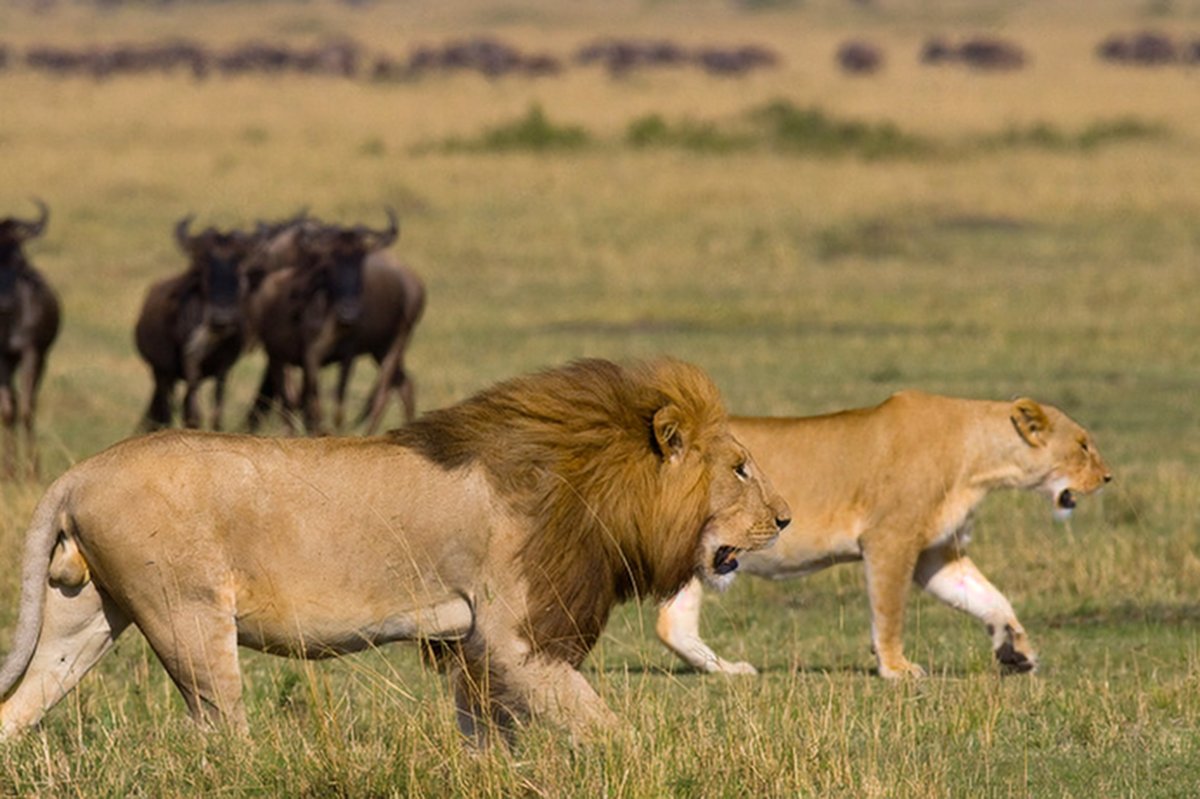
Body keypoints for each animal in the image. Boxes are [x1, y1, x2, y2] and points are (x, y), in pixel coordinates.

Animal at [0, 358, 790, 744]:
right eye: (740, 468)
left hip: (85, 615)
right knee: (218, 732)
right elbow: (604, 726)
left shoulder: (477, 645)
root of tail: (81, 471)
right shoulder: (516, 637)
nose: (784, 518)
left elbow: (490, 735)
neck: (597, 482)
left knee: (19, 708)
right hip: (188, 618)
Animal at [656, 391, 1111, 679]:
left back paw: (728, 670)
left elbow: (989, 597)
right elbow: (889, 611)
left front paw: (1015, 651)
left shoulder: (936, 553)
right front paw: (896, 668)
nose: (1107, 478)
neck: (978, 461)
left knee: (672, 626)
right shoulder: (891, 538)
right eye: (1083, 445)